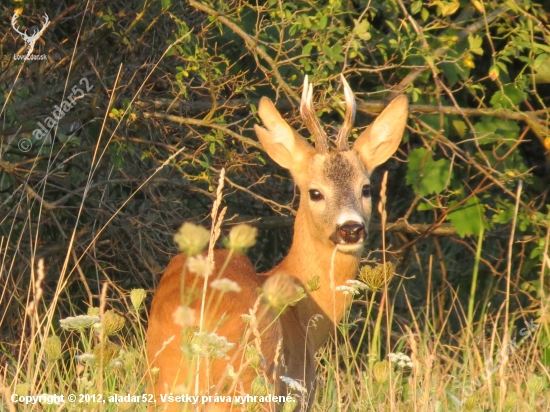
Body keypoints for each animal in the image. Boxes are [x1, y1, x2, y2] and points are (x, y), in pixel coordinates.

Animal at [147, 75, 410, 410]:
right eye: (315, 192)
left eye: (365, 188)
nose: (351, 229)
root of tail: (196, 330)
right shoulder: (300, 388)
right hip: (254, 380)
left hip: (163, 384)